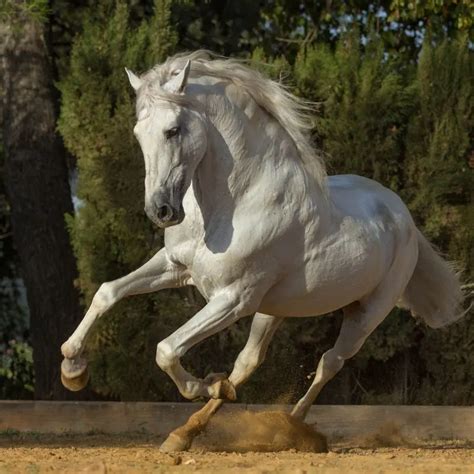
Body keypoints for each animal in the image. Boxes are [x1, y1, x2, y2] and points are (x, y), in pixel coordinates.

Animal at [59, 51, 462, 452]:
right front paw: (72, 368)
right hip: (274, 309)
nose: (160, 211)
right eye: (138, 134)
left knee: (329, 362)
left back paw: (291, 425)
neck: (235, 203)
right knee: (248, 362)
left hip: (367, 314)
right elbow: (108, 292)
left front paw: (202, 383)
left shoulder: (233, 299)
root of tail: (401, 215)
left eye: (172, 130)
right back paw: (186, 432)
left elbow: (166, 349)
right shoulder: (175, 267)